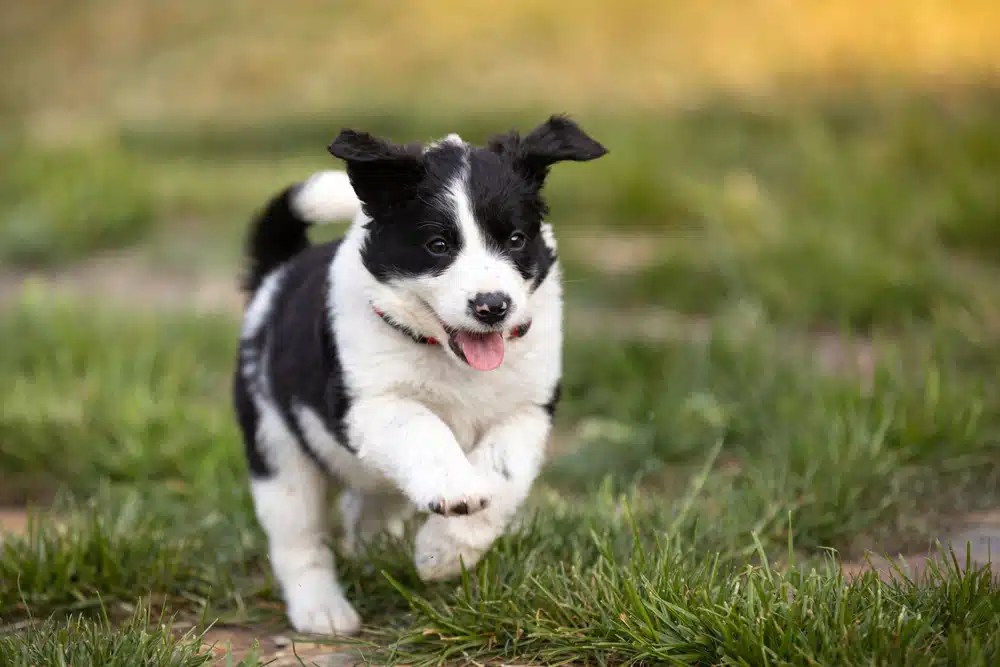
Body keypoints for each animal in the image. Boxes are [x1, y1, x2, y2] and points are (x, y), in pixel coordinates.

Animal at [233, 116, 604, 636]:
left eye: (515, 240)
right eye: (438, 246)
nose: (492, 306)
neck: (446, 354)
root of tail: (274, 279)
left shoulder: (529, 409)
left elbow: (502, 475)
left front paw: (444, 552)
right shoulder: (367, 404)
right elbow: (422, 427)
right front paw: (454, 491)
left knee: (367, 504)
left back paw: (376, 551)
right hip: (277, 447)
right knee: (299, 538)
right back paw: (322, 610)